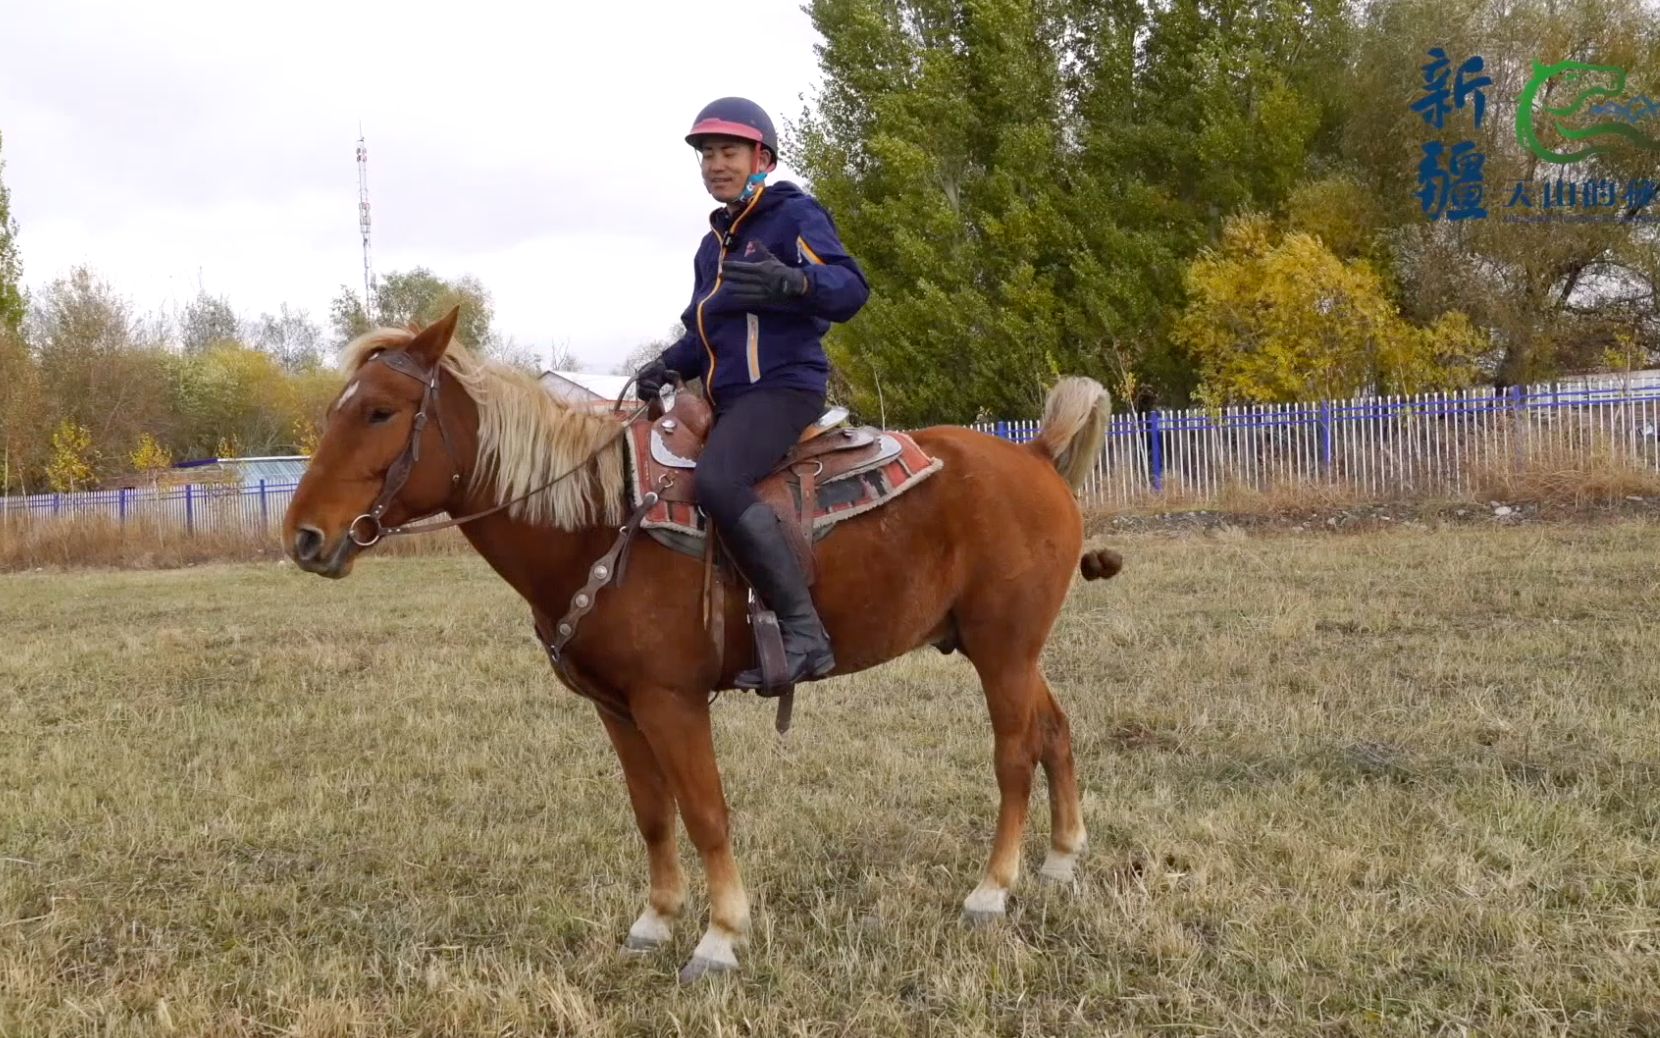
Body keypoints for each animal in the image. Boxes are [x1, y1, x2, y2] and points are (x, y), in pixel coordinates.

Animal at [285, 307, 1115, 976]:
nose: (304, 537)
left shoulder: (671, 702)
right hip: (1002, 649)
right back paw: (1061, 859)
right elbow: (653, 813)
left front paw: (720, 937)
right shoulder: (616, 708)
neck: (601, 519)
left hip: (1003, 650)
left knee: (1014, 755)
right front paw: (654, 921)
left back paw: (992, 889)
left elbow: (705, 810)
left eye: (381, 412)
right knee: (1055, 730)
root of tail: (1034, 454)